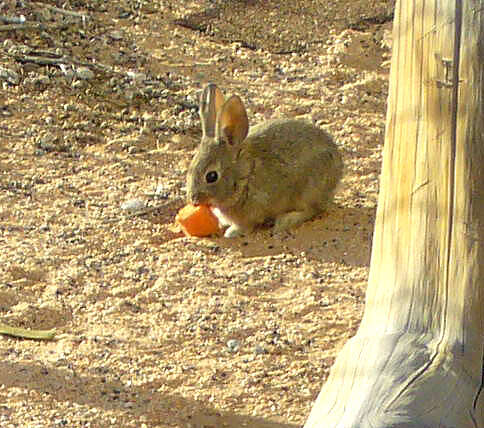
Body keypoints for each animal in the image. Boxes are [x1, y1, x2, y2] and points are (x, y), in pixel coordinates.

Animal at [186, 83, 344, 237]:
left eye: (212, 176)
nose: (194, 200)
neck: (245, 174)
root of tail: (338, 170)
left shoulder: (252, 213)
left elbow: (246, 226)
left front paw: (232, 232)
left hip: (309, 190)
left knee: (312, 210)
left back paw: (285, 221)